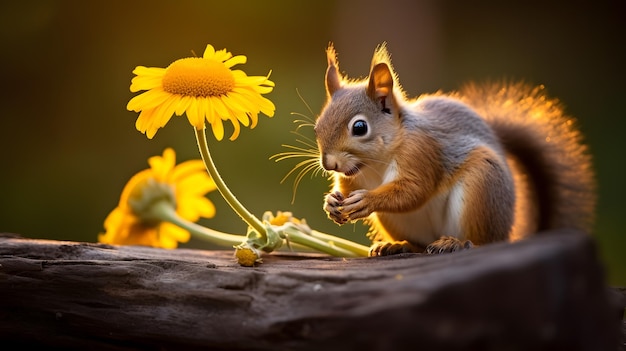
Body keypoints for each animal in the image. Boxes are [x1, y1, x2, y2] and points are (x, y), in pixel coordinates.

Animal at [314, 44, 592, 258]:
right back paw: (398, 245)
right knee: (420, 245)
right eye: (317, 126)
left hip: (482, 188)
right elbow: (347, 187)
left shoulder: (422, 153)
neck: (375, 163)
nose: (329, 164)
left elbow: (413, 191)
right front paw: (332, 203)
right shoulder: (353, 176)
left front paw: (367, 200)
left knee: (483, 242)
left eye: (359, 127)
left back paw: (456, 243)